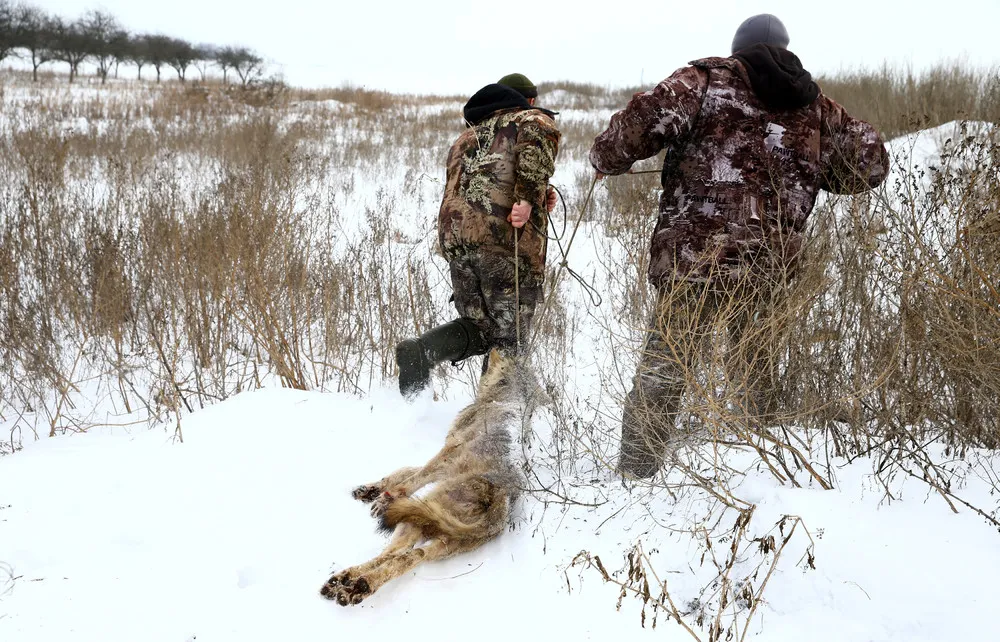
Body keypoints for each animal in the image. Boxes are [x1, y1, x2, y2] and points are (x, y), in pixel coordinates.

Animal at [320, 348, 543, 606]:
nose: (493, 349)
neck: (506, 397)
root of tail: (498, 502)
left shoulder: (445, 455)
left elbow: (411, 479)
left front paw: (383, 498)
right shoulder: (444, 462)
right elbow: (406, 470)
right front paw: (370, 490)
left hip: (417, 514)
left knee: (393, 552)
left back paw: (349, 582)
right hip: (439, 540)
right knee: (407, 557)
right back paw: (353, 585)